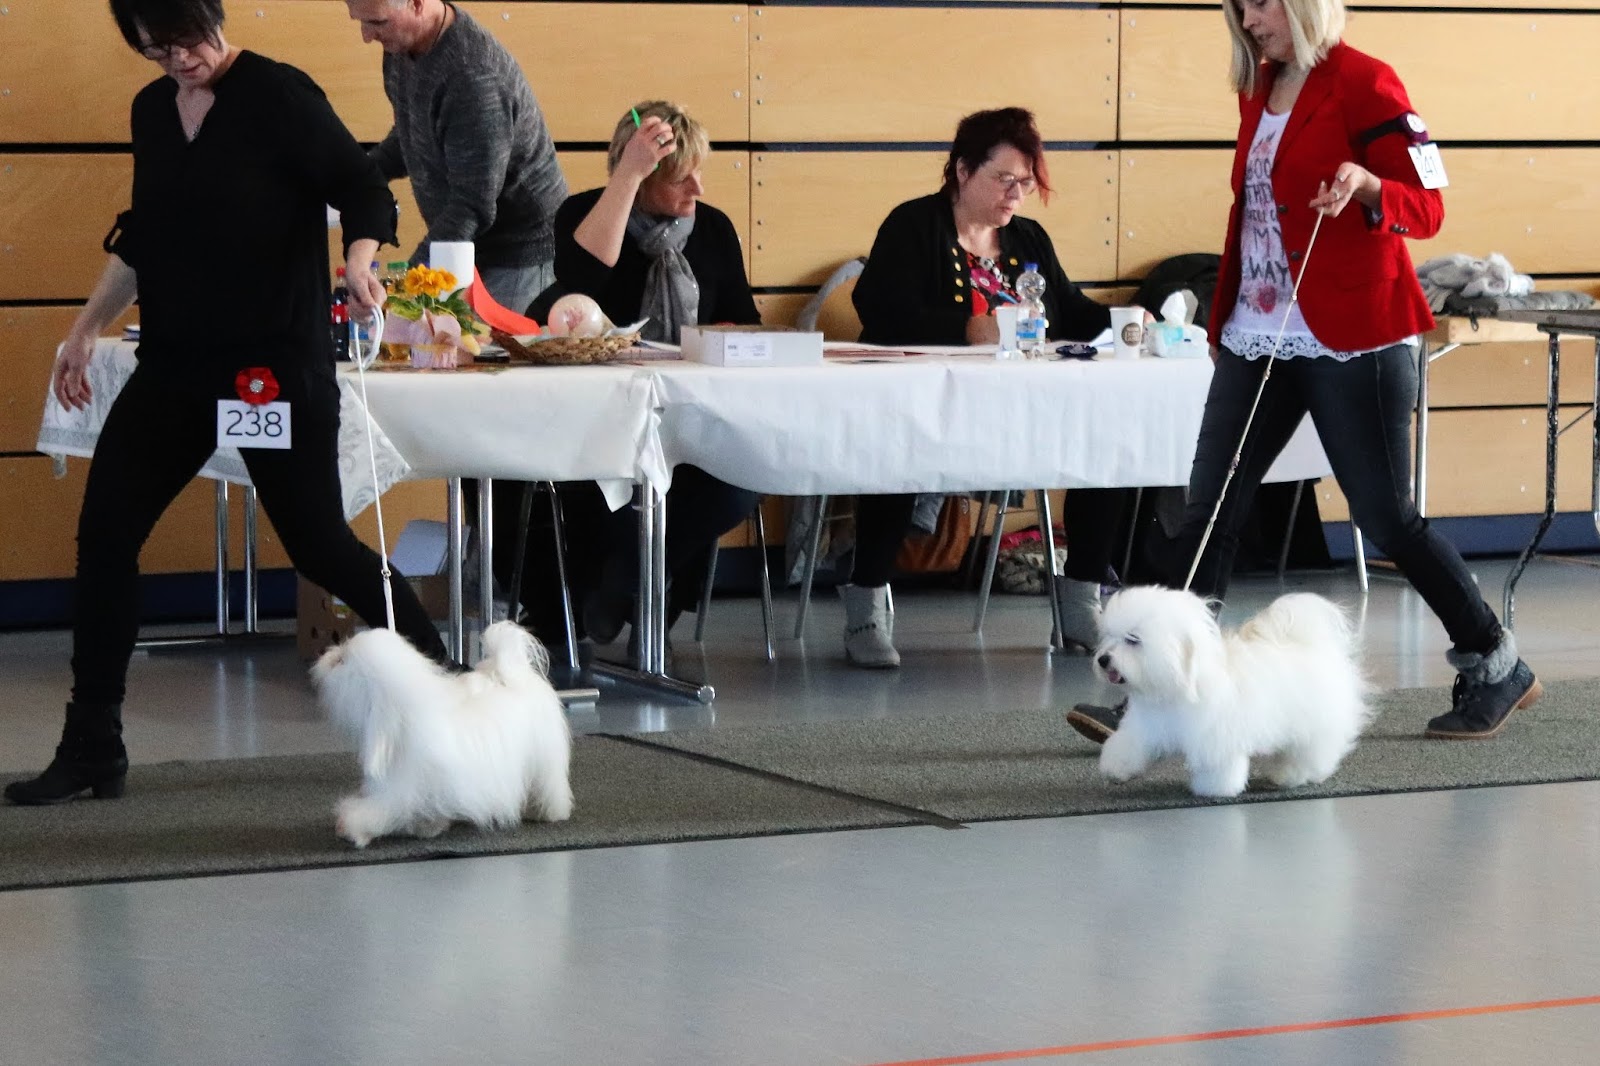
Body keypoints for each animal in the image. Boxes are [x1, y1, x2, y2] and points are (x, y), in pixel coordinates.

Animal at [312, 621, 573, 848]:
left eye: (341, 660)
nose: (326, 653)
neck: (400, 716)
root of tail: (513, 671)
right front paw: (428, 827)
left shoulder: (402, 787)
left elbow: (380, 810)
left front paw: (352, 828)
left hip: (545, 758)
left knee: (550, 786)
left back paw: (551, 813)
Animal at [1091, 586, 1372, 798]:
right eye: (1109, 636)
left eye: (1133, 639)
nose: (1103, 659)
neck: (1179, 682)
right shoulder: (1146, 727)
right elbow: (1130, 746)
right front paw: (1116, 769)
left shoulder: (1216, 738)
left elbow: (1217, 765)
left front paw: (1214, 789)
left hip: (1312, 726)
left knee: (1309, 753)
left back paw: (1293, 776)